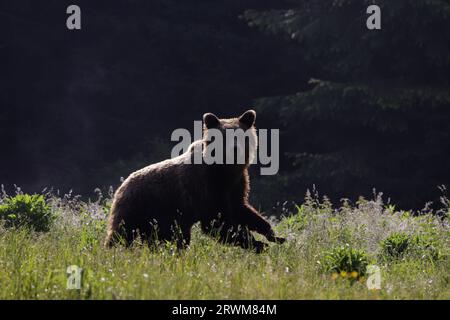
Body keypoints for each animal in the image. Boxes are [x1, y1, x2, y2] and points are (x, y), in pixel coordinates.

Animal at [105, 110, 284, 252]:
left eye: (240, 136)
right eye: (224, 137)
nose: (234, 149)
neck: (225, 170)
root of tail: (121, 186)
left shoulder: (237, 184)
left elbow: (241, 209)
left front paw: (273, 235)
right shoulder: (206, 186)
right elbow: (217, 221)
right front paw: (256, 243)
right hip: (140, 208)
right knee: (123, 233)